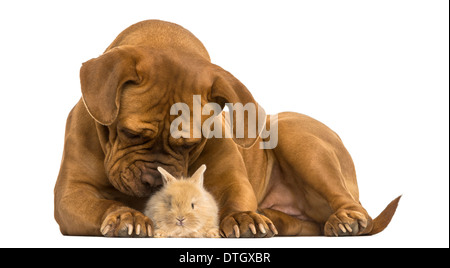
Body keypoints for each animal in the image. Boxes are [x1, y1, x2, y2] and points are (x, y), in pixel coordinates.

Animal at [53, 19, 400, 237]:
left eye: (190, 145)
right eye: (129, 133)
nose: (154, 180)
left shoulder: (232, 181)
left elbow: (236, 198)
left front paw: (242, 218)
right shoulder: (71, 194)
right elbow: (101, 203)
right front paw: (125, 215)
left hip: (298, 138)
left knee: (356, 207)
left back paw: (345, 220)